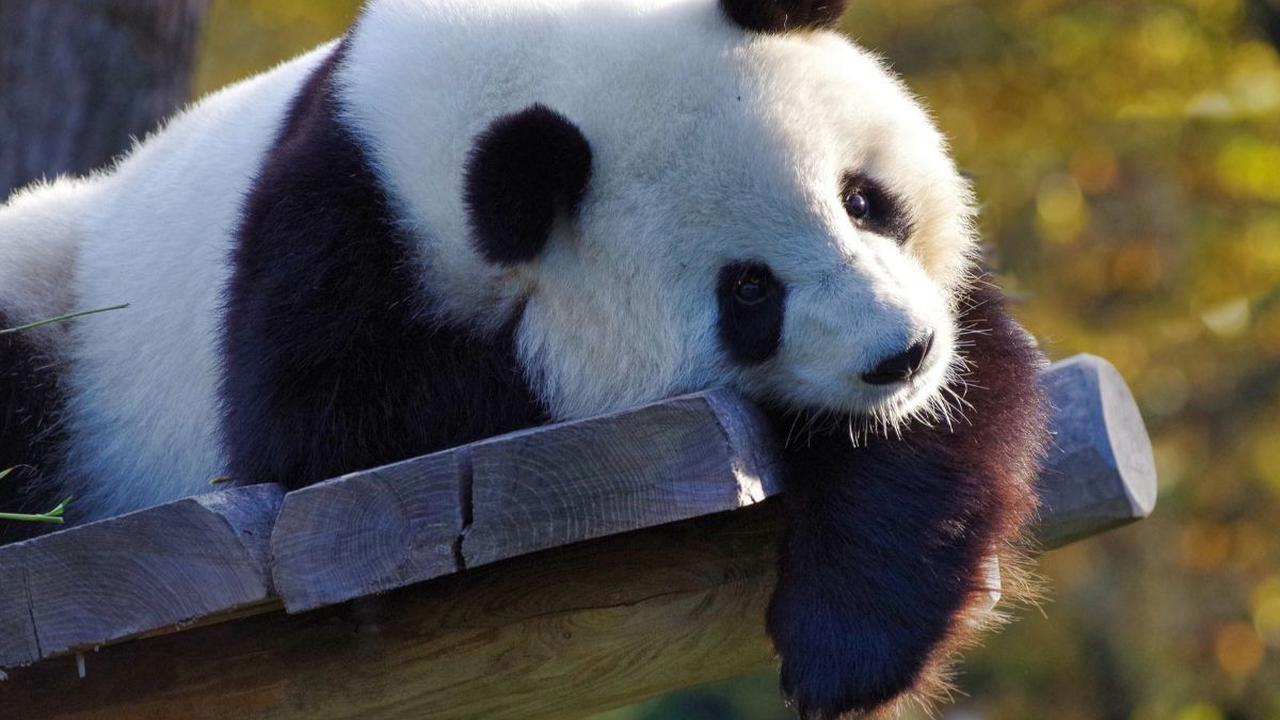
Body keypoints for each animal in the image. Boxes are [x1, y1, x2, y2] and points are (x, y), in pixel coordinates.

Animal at [0, 0, 1049, 716]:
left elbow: (961, 401)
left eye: (864, 199)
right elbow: (321, 428)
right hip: (58, 298)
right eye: (748, 291)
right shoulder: (325, 239)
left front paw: (847, 646)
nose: (899, 354)